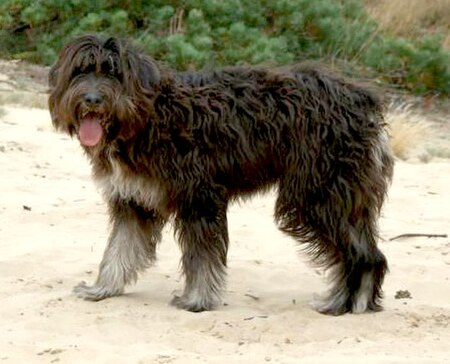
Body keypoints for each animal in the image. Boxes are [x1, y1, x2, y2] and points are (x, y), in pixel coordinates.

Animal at [50, 34, 394, 316]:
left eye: (115, 73)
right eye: (80, 71)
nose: (92, 100)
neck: (147, 116)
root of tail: (364, 102)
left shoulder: (199, 197)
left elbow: (202, 256)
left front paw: (197, 300)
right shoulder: (133, 202)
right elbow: (118, 249)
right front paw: (102, 288)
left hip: (317, 196)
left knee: (358, 253)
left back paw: (342, 303)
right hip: (338, 196)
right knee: (369, 253)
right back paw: (355, 301)